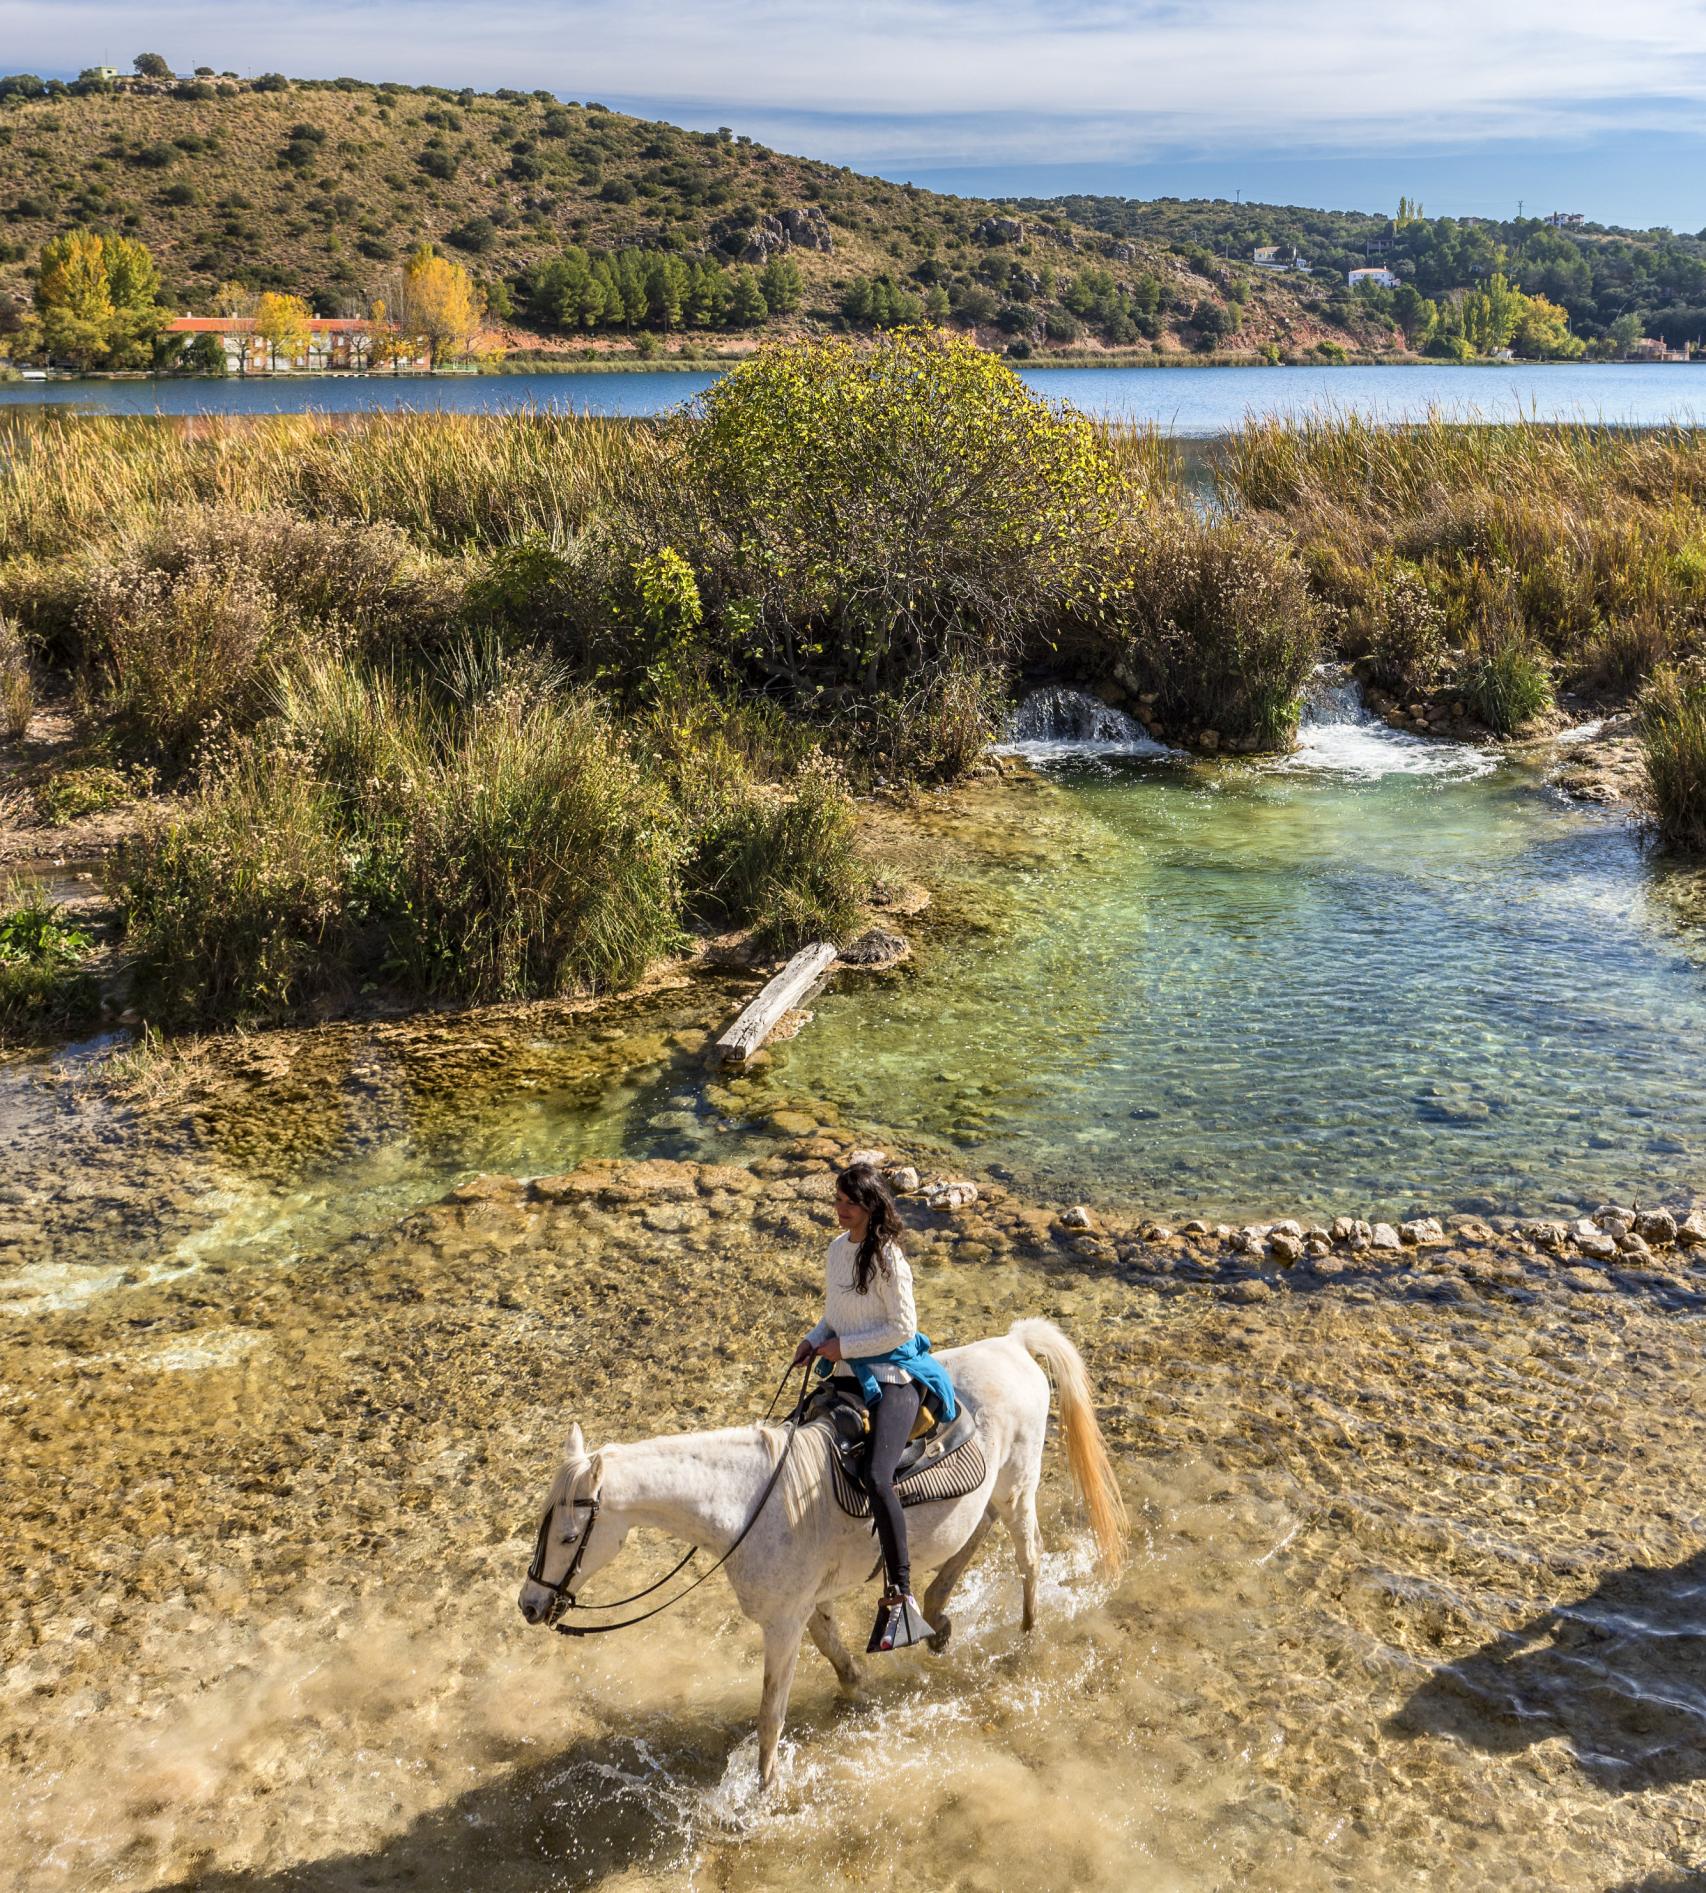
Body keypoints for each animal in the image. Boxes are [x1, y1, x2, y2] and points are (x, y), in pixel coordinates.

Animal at [517, 1319, 1128, 1788]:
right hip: (991, 1493)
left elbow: (770, 1717)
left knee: (1029, 1556)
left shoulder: (783, 1623)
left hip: (1018, 1486)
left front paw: (761, 1796)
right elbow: (838, 1658)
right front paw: (859, 1696)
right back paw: (935, 1616)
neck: (751, 1502)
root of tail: (1014, 1343)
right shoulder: (807, 1606)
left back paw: (1023, 1640)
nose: (529, 1605)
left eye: (569, 1537)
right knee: (978, 1532)